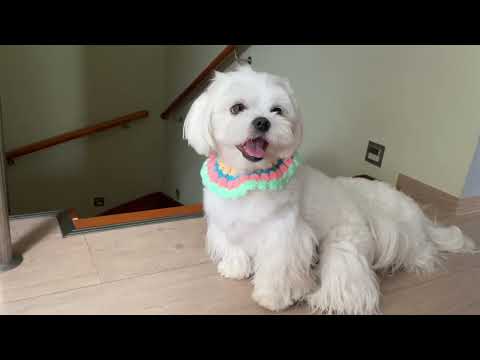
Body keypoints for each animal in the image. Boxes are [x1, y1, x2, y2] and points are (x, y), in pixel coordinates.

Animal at [182, 64, 474, 316]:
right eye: (237, 108)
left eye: (277, 110)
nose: (263, 121)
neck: (247, 178)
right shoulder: (227, 225)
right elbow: (234, 246)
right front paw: (235, 268)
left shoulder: (285, 233)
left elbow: (278, 268)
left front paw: (272, 298)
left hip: (344, 240)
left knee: (352, 282)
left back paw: (326, 296)